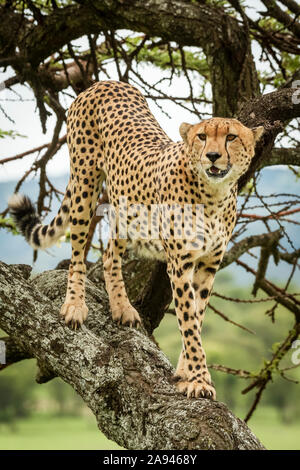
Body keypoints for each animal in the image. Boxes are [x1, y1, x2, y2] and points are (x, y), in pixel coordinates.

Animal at [8, 81, 262, 400]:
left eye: (231, 137)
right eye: (202, 137)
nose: (213, 156)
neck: (214, 194)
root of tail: (105, 83)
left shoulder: (208, 265)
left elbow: (197, 318)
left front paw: (185, 373)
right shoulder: (179, 265)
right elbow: (189, 322)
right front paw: (200, 380)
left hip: (124, 208)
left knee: (109, 255)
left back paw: (122, 307)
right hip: (85, 183)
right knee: (78, 252)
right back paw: (75, 305)